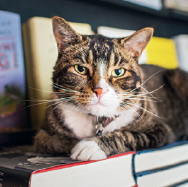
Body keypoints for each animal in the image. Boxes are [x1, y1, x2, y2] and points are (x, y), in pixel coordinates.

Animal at [34, 16, 188, 161]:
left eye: (118, 72)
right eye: (80, 69)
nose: (100, 90)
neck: (96, 120)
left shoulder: (160, 130)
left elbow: (129, 135)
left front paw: (90, 145)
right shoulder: (41, 135)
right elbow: (53, 142)